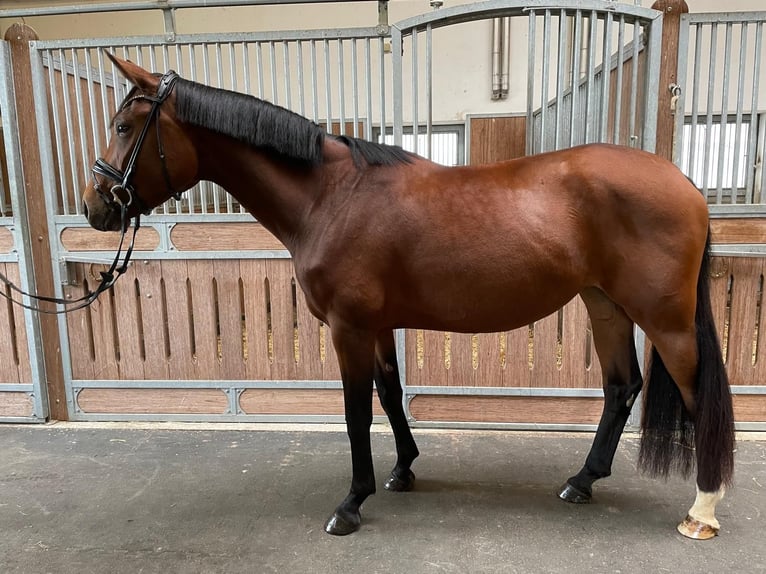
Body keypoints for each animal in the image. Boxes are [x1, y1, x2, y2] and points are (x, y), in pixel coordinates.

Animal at [82, 56, 736, 544]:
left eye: (123, 127)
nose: (96, 208)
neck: (331, 196)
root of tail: (683, 183)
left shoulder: (347, 327)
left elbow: (354, 412)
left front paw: (351, 503)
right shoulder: (375, 326)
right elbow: (391, 394)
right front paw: (402, 470)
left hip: (666, 321)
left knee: (694, 391)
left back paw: (702, 511)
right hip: (605, 305)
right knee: (622, 387)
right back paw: (582, 480)